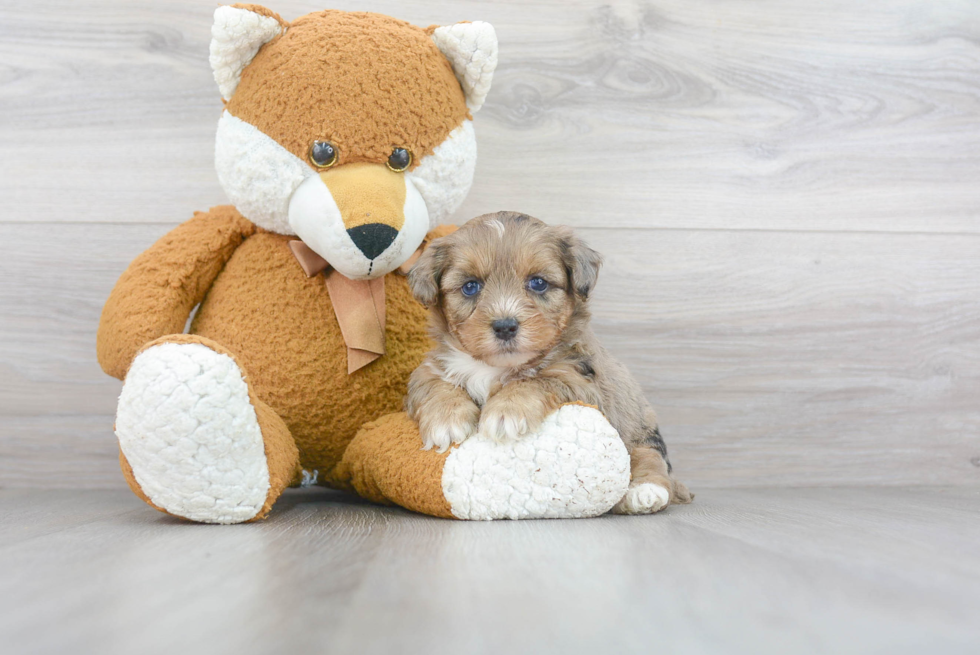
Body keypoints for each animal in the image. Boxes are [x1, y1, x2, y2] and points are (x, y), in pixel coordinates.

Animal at [404, 213, 688, 516]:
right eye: (470, 286)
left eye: (538, 283)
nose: (505, 326)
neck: (495, 367)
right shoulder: (430, 367)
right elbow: (435, 383)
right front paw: (447, 421)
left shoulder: (579, 378)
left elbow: (536, 379)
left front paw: (506, 412)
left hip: (641, 426)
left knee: (651, 457)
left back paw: (644, 493)